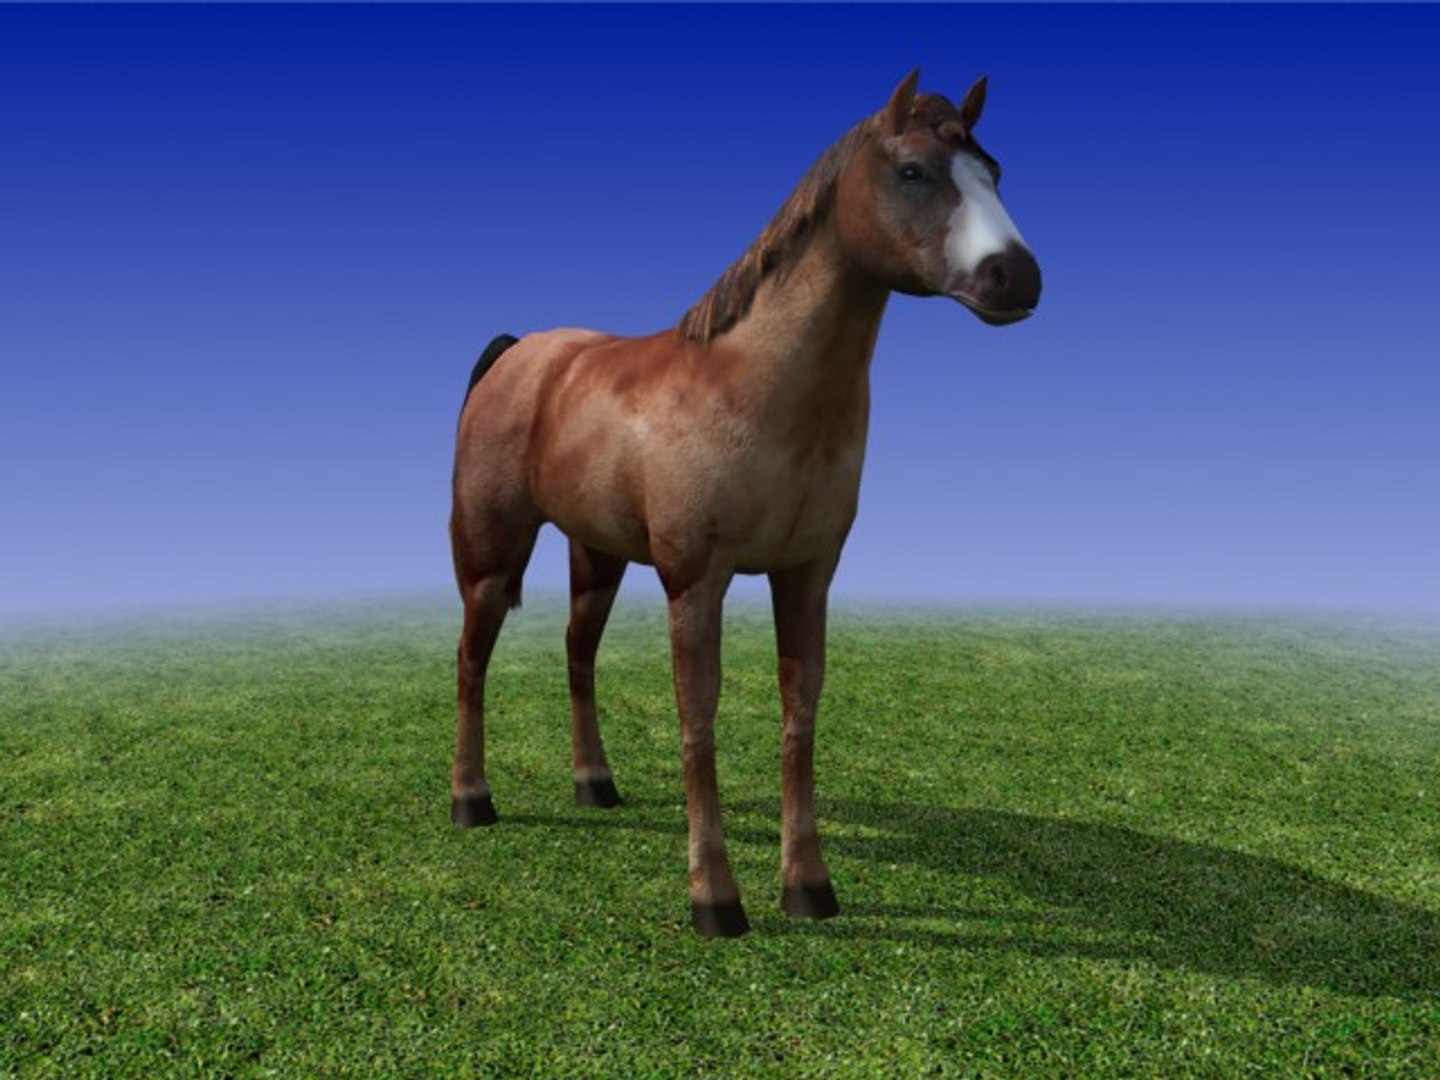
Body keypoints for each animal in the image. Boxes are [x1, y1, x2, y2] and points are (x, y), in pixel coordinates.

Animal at [449, 71, 1041, 937]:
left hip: (597, 555)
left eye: (993, 172)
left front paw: (809, 888)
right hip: (490, 555)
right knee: (472, 659)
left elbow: (800, 716)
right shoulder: (698, 580)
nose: (1018, 278)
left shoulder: (806, 575)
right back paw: (472, 800)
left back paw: (596, 786)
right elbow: (699, 720)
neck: (756, 388)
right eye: (913, 172)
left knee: (577, 654)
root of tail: (520, 352)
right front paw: (715, 900)